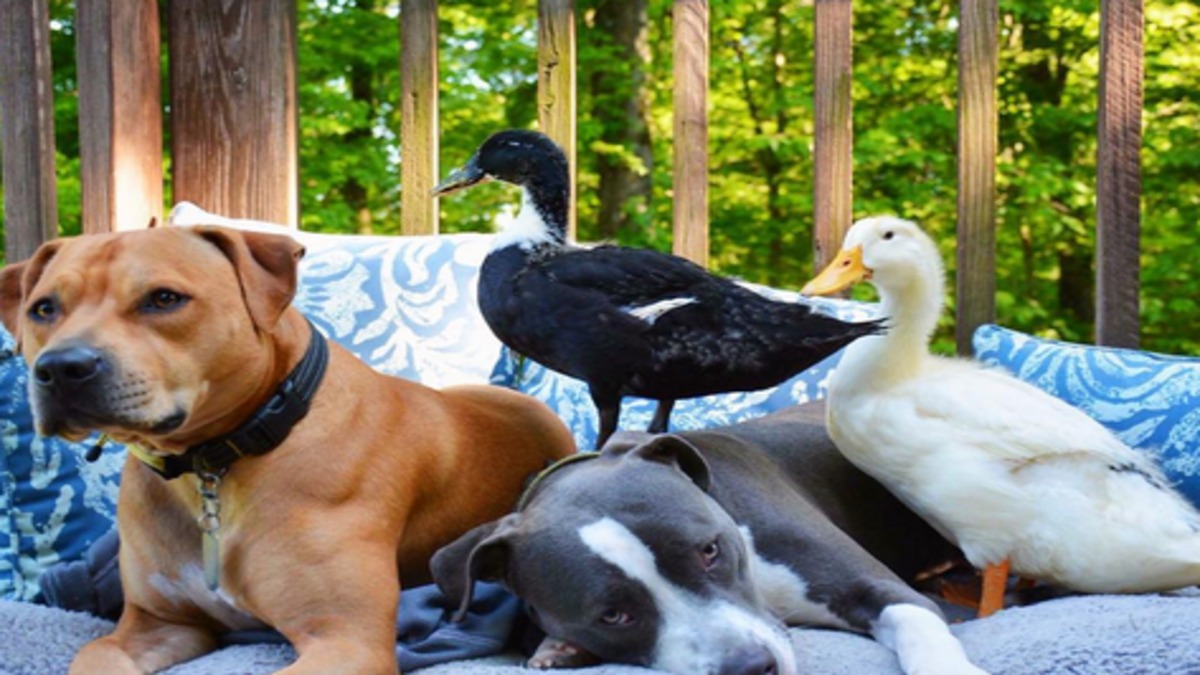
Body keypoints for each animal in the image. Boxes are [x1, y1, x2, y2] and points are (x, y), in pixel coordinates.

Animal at [0, 227, 576, 672]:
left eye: (163, 298)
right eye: (44, 308)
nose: (62, 367)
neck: (213, 465)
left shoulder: (345, 638)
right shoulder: (158, 623)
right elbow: (95, 653)